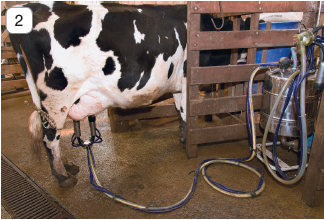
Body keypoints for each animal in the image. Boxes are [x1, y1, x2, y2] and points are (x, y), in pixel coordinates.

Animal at [9, 2, 187, 187]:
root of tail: (32, 5)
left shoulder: (178, 83)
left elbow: (180, 110)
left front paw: (182, 138)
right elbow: (186, 113)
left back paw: (68, 166)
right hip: (57, 97)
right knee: (50, 137)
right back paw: (63, 176)